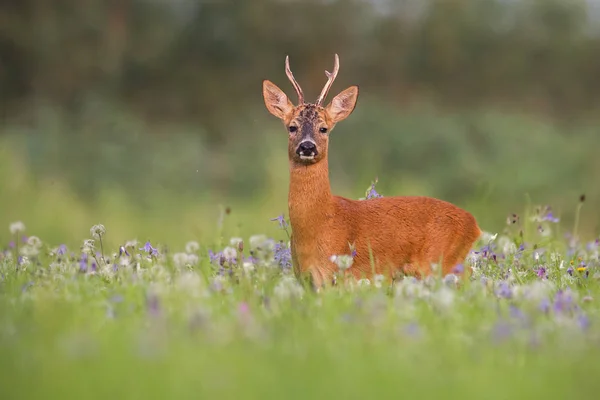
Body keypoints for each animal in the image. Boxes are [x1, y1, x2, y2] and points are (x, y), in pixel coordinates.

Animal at [262, 54, 482, 290]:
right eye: (292, 127)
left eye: (324, 128)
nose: (307, 146)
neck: (319, 223)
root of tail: (474, 224)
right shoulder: (305, 279)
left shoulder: (335, 274)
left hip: (441, 261)